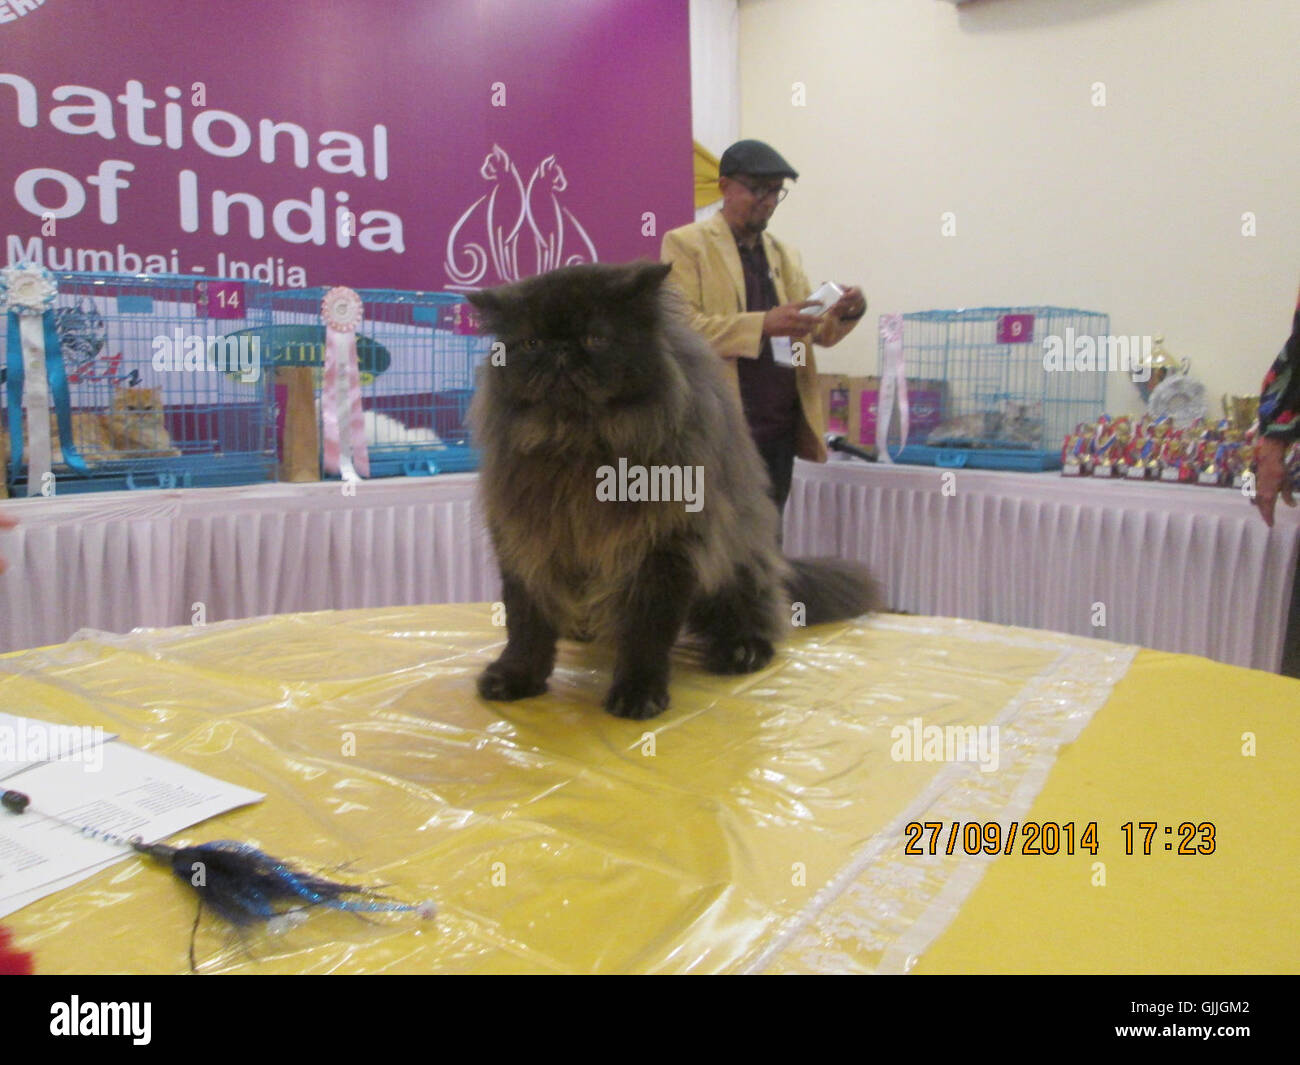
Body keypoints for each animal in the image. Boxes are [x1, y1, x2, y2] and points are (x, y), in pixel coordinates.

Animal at [462, 261, 878, 723]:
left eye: (595, 338)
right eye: (531, 342)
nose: (560, 351)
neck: (581, 445)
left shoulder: (663, 551)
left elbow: (646, 631)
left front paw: (638, 692)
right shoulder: (528, 544)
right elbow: (526, 624)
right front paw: (515, 676)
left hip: (737, 568)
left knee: (758, 614)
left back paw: (743, 651)